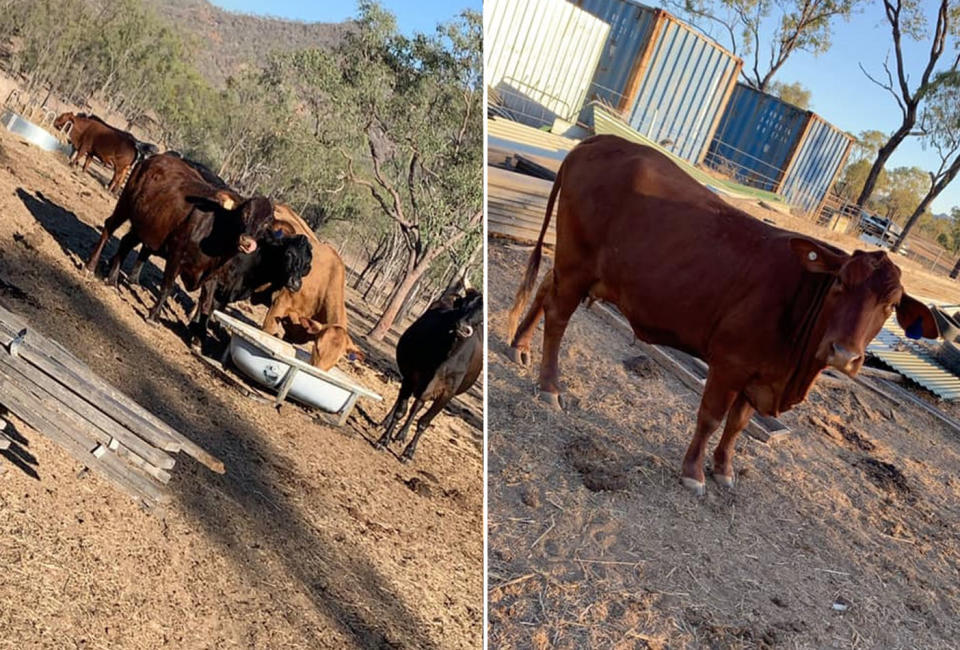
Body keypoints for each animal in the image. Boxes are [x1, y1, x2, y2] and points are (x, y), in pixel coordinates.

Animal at [84, 153, 276, 324]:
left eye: (267, 223)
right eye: (244, 213)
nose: (247, 242)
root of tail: (154, 158)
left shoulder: (212, 274)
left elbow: (206, 304)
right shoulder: (177, 254)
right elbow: (167, 286)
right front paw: (153, 316)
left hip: (145, 224)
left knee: (125, 242)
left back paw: (112, 280)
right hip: (124, 205)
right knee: (108, 228)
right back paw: (91, 266)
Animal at [378, 288, 484, 460]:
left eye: (482, 314)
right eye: (464, 305)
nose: (462, 327)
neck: (447, 355)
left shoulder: (446, 394)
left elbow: (424, 422)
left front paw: (408, 452)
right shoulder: (411, 377)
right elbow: (401, 410)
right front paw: (383, 440)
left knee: (416, 408)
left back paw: (401, 436)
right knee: (405, 404)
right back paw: (386, 424)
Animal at [510, 134, 936, 494]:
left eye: (891, 305)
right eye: (840, 283)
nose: (844, 355)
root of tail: (599, 140)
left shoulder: (762, 372)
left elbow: (737, 424)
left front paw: (724, 469)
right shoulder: (731, 363)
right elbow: (712, 416)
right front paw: (694, 472)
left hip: (572, 266)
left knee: (544, 289)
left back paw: (519, 346)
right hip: (576, 263)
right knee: (558, 316)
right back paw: (550, 386)